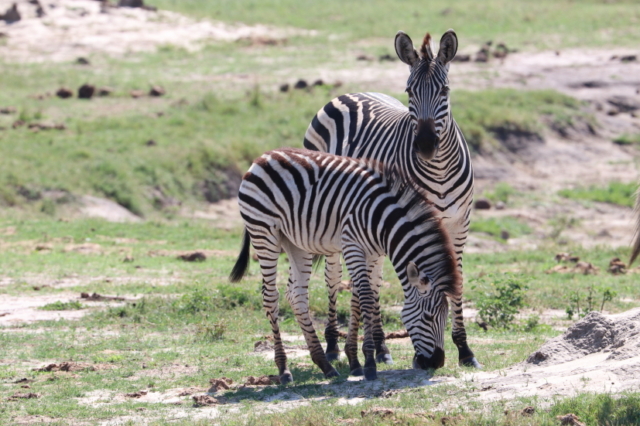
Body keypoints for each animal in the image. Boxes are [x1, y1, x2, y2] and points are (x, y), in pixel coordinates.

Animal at [230, 148, 461, 382]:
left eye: (445, 317)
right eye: (428, 317)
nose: (437, 362)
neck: (381, 220)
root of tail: (265, 155)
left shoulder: (371, 253)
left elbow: (359, 299)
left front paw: (354, 361)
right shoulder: (352, 246)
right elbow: (366, 298)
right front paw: (369, 363)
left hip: (295, 242)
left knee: (297, 296)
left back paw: (324, 364)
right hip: (264, 233)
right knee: (270, 297)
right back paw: (284, 369)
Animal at [303, 29, 479, 368]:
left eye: (445, 90)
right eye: (410, 90)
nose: (425, 145)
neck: (439, 171)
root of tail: (353, 93)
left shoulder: (459, 225)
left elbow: (457, 280)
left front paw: (465, 349)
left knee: (373, 278)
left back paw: (381, 347)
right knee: (335, 277)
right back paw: (334, 344)